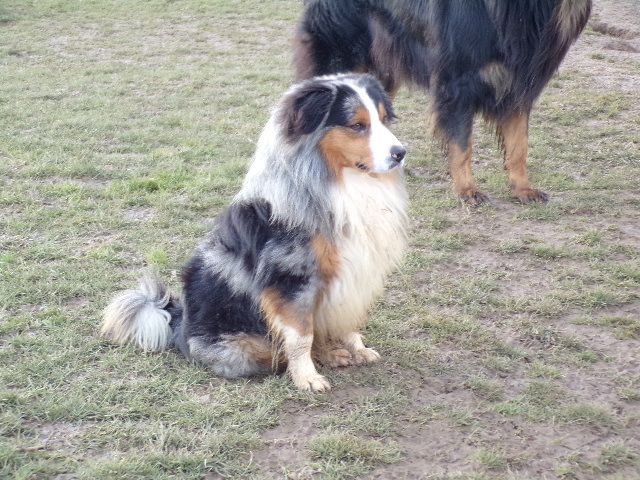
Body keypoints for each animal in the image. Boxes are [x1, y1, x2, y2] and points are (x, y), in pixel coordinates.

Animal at [102, 74, 408, 390]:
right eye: (357, 125)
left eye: (384, 120)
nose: (400, 154)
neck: (340, 182)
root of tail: (178, 319)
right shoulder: (292, 279)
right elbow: (301, 337)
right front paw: (307, 378)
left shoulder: (355, 272)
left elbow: (348, 319)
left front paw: (357, 349)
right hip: (244, 345)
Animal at [294, 0, 592, 204]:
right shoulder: (457, 86)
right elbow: (462, 146)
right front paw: (467, 190)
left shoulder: (517, 89)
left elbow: (519, 146)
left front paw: (522, 188)